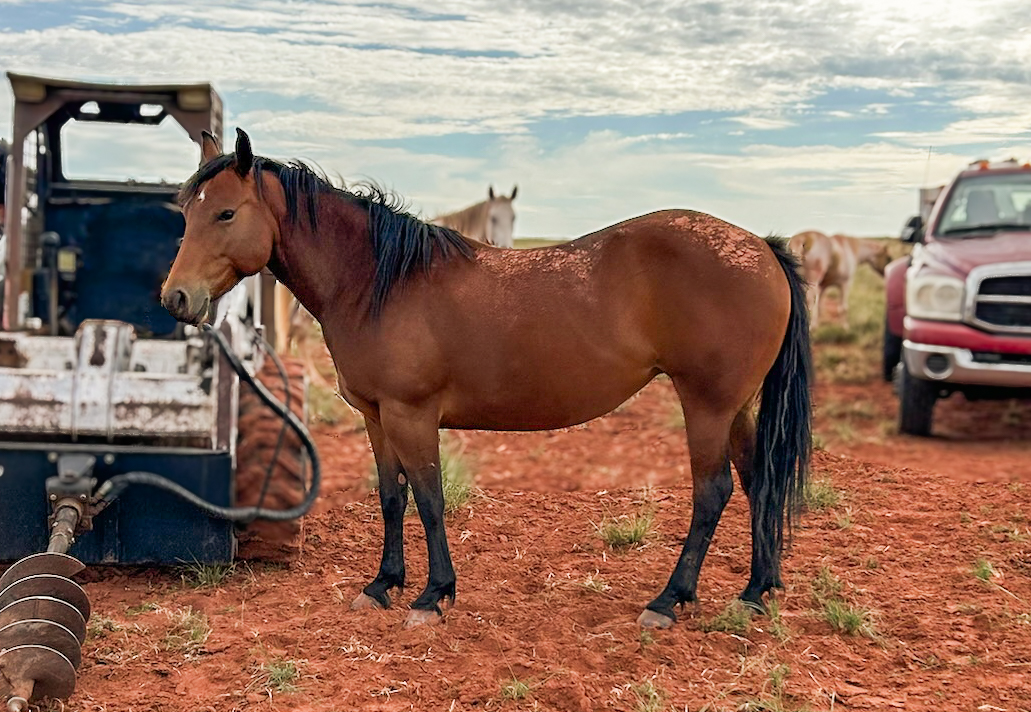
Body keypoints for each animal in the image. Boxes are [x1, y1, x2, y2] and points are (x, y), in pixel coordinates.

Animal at [162, 129, 812, 630]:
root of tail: (762, 248)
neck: (378, 281)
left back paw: (669, 600)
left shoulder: (411, 414)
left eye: (225, 212)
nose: (175, 298)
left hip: (707, 406)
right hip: (736, 409)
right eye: (186, 212)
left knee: (713, 492)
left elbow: (429, 498)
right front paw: (382, 585)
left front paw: (432, 596)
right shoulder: (376, 416)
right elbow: (392, 497)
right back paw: (756, 592)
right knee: (758, 483)